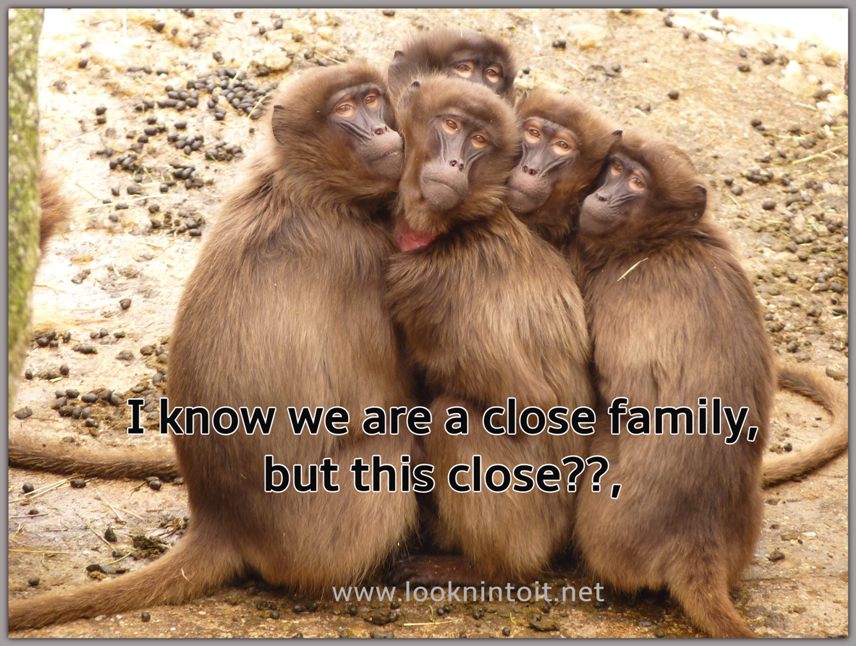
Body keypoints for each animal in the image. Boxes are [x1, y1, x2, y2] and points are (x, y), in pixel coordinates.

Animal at [9, 61, 418, 631]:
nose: (381, 129)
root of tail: (223, 520)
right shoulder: (364, 255)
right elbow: (389, 399)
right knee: (393, 445)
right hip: (325, 532)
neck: (302, 187)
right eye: (345, 109)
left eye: (373, 99)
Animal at [383, 75, 593, 584]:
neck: (454, 228)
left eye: (478, 141)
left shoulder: (436, 286)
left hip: (529, 519)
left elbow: (526, 400)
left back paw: (482, 567)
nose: (455, 161)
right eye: (451, 125)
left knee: (451, 418)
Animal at [571, 129, 780, 637]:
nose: (601, 196)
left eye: (637, 182)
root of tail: (697, 540)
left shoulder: (605, 279)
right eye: (616, 168)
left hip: (613, 525)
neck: (665, 240)